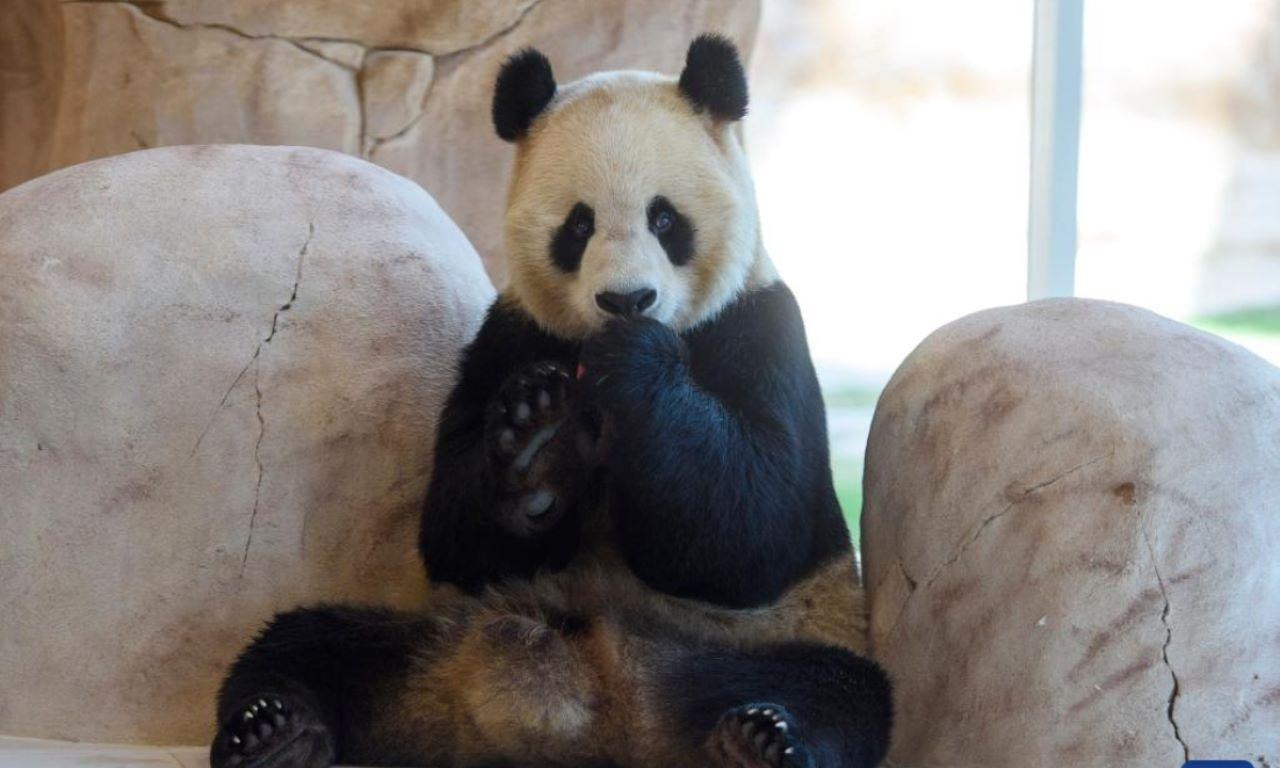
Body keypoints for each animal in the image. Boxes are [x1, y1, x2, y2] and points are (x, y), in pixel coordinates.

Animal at [210, 35, 892, 768]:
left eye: (664, 218)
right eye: (579, 225)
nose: (626, 300)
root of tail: (585, 716)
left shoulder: (760, 327)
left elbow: (754, 530)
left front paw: (636, 368)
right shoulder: (509, 337)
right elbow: (455, 535)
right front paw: (539, 443)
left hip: (757, 643)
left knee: (836, 691)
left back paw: (756, 741)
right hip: (434, 632)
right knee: (307, 643)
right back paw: (279, 733)